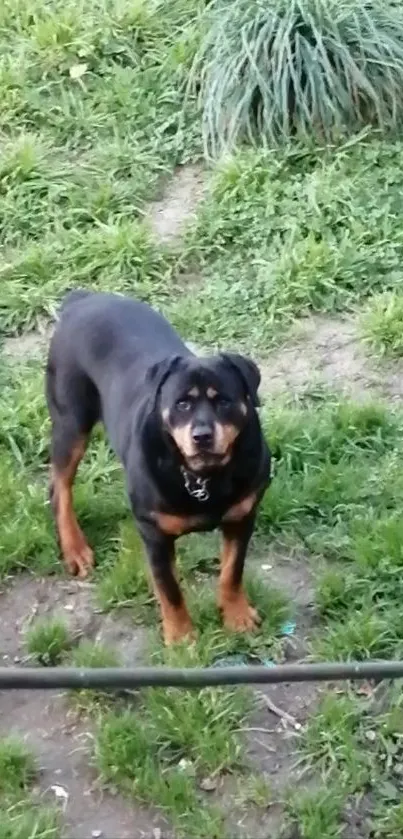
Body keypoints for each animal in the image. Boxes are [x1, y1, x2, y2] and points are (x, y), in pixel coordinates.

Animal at [45, 292, 272, 648]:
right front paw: (181, 637)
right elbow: (170, 589)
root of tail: (82, 299)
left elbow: (232, 571)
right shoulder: (154, 531)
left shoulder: (242, 516)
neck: (203, 477)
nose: (202, 435)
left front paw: (237, 616)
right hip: (71, 420)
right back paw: (75, 549)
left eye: (224, 400)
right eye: (182, 403)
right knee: (60, 487)